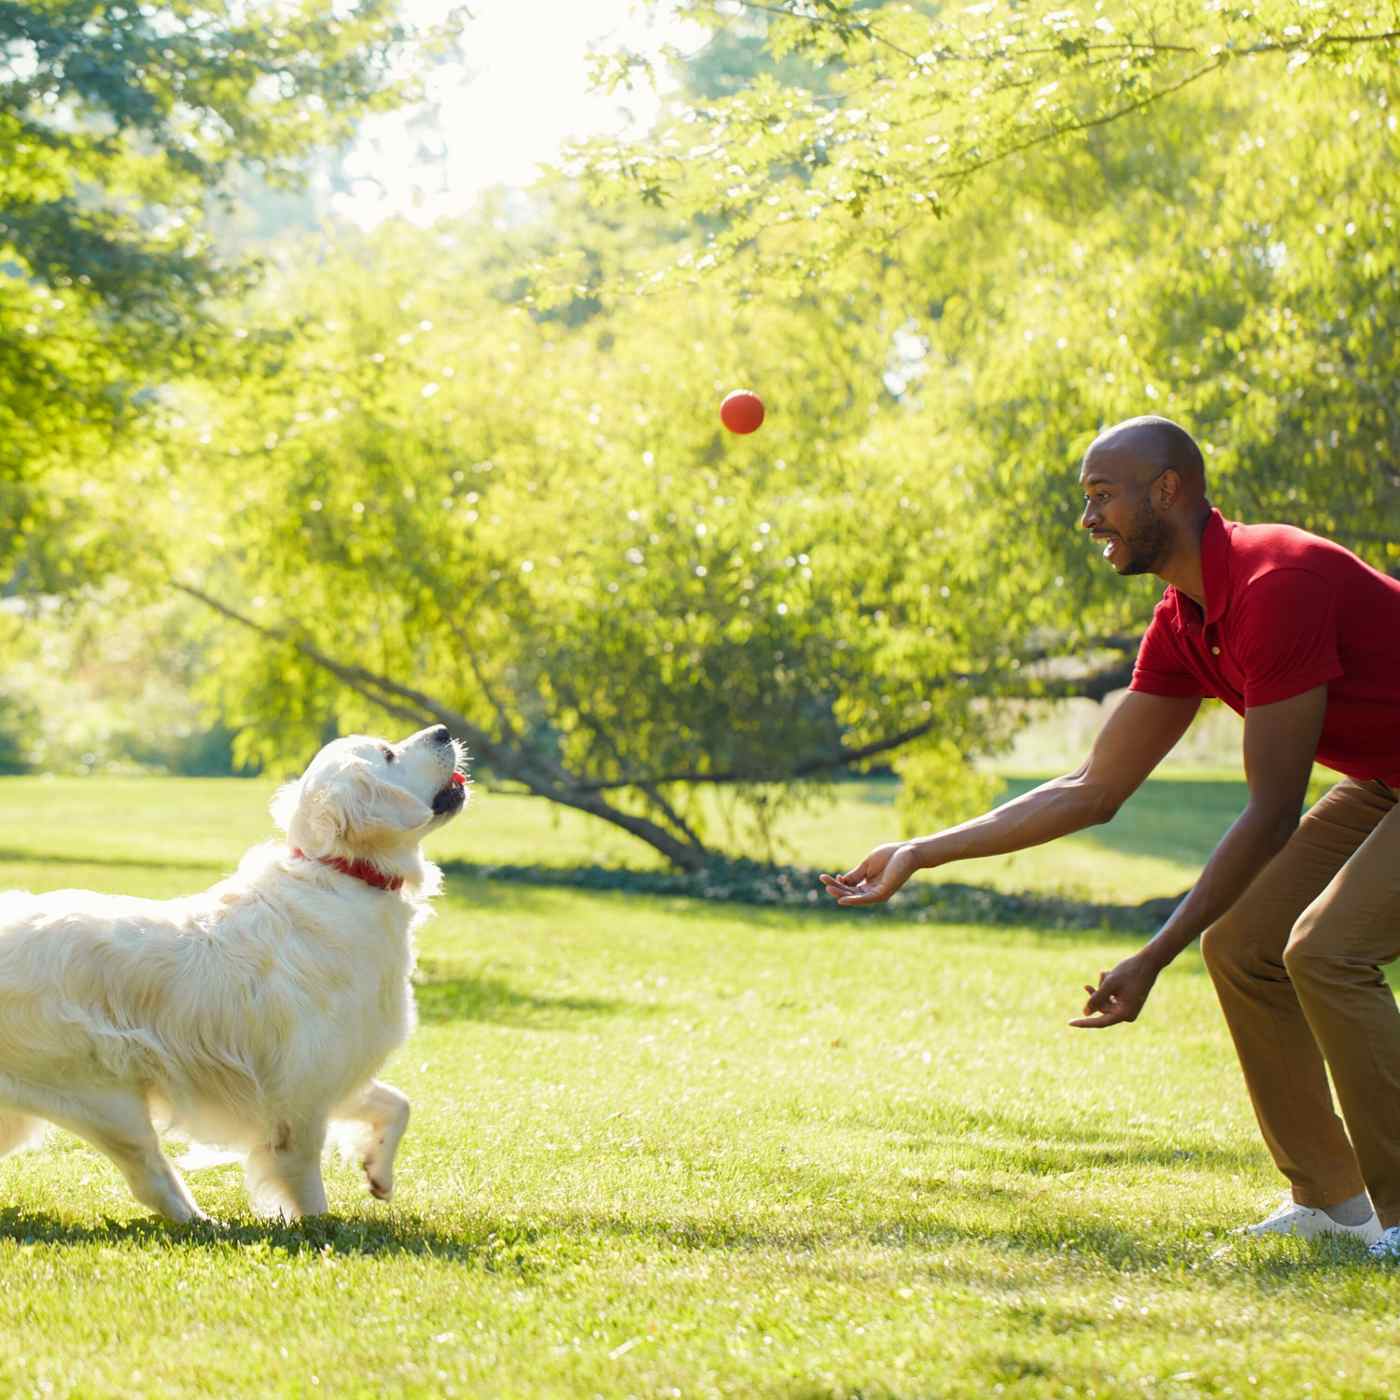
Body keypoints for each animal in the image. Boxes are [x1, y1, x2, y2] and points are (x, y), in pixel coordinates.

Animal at [0, 728, 470, 1220]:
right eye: (388, 754)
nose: (442, 731)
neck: (343, 874)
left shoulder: (340, 1069)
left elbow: (398, 1103)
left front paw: (378, 1173)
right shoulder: (299, 1094)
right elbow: (308, 1184)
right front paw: (319, 1226)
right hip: (103, 1097)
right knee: (151, 1180)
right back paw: (203, 1221)